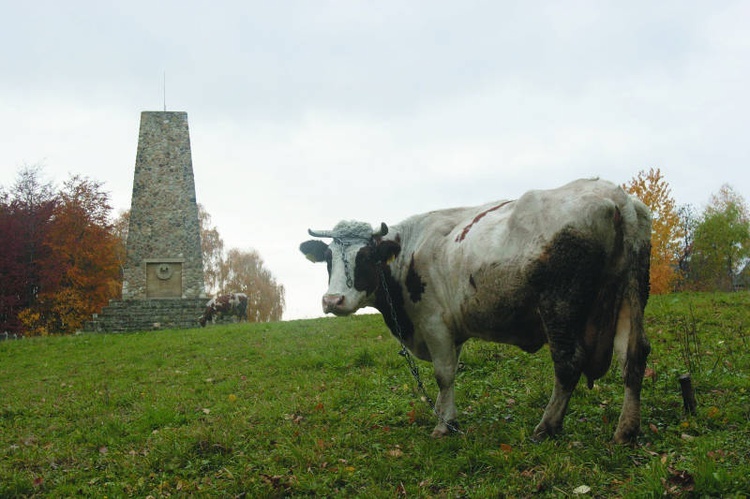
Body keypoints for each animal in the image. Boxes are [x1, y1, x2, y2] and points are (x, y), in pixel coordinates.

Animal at [300, 180, 652, 446]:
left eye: (366, 257)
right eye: (328, 259)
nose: (333, 300)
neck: (409, 250)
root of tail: (614, 195)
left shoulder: (434, 323)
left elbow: (443, 373)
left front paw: (444, 425)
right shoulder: (449, 333)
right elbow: (449, 374)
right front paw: (444, 414)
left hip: (560, 306)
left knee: (568, 362)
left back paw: (547, 427)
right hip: (629, 297)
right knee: (633, 356)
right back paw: (626, 430)